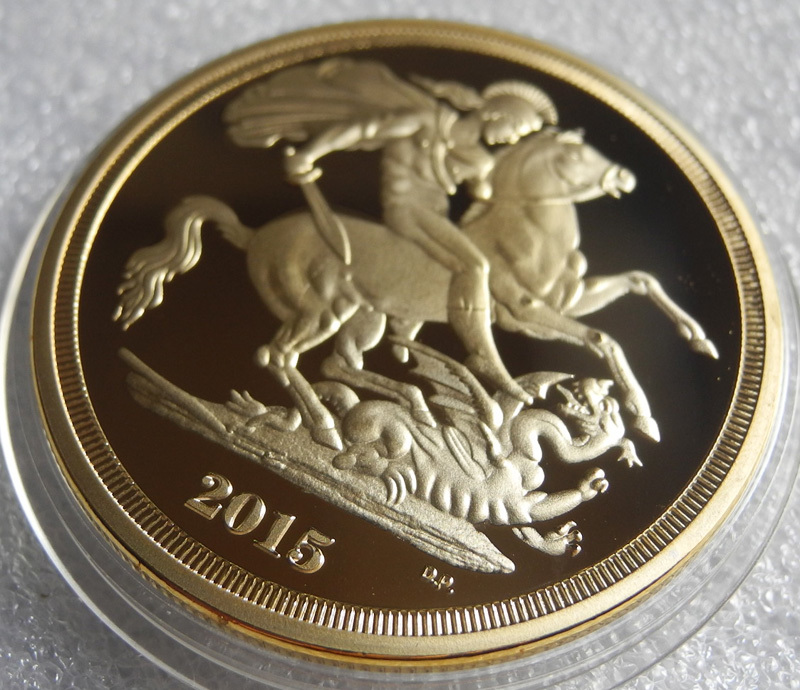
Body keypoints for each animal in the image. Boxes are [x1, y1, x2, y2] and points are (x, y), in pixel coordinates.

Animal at [116, 129, 717, 450]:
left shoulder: (565, 299)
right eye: (574, 154)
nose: (625, 178)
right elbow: (601, 339)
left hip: (365, 316)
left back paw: (416, 404)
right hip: (323, 309)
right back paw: (330, 428)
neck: (524, 230)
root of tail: (254, 234)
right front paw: (644, 416)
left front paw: (700, 340)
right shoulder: (523, 314)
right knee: (280, 356)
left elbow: (642, 279)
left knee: (340, 363)